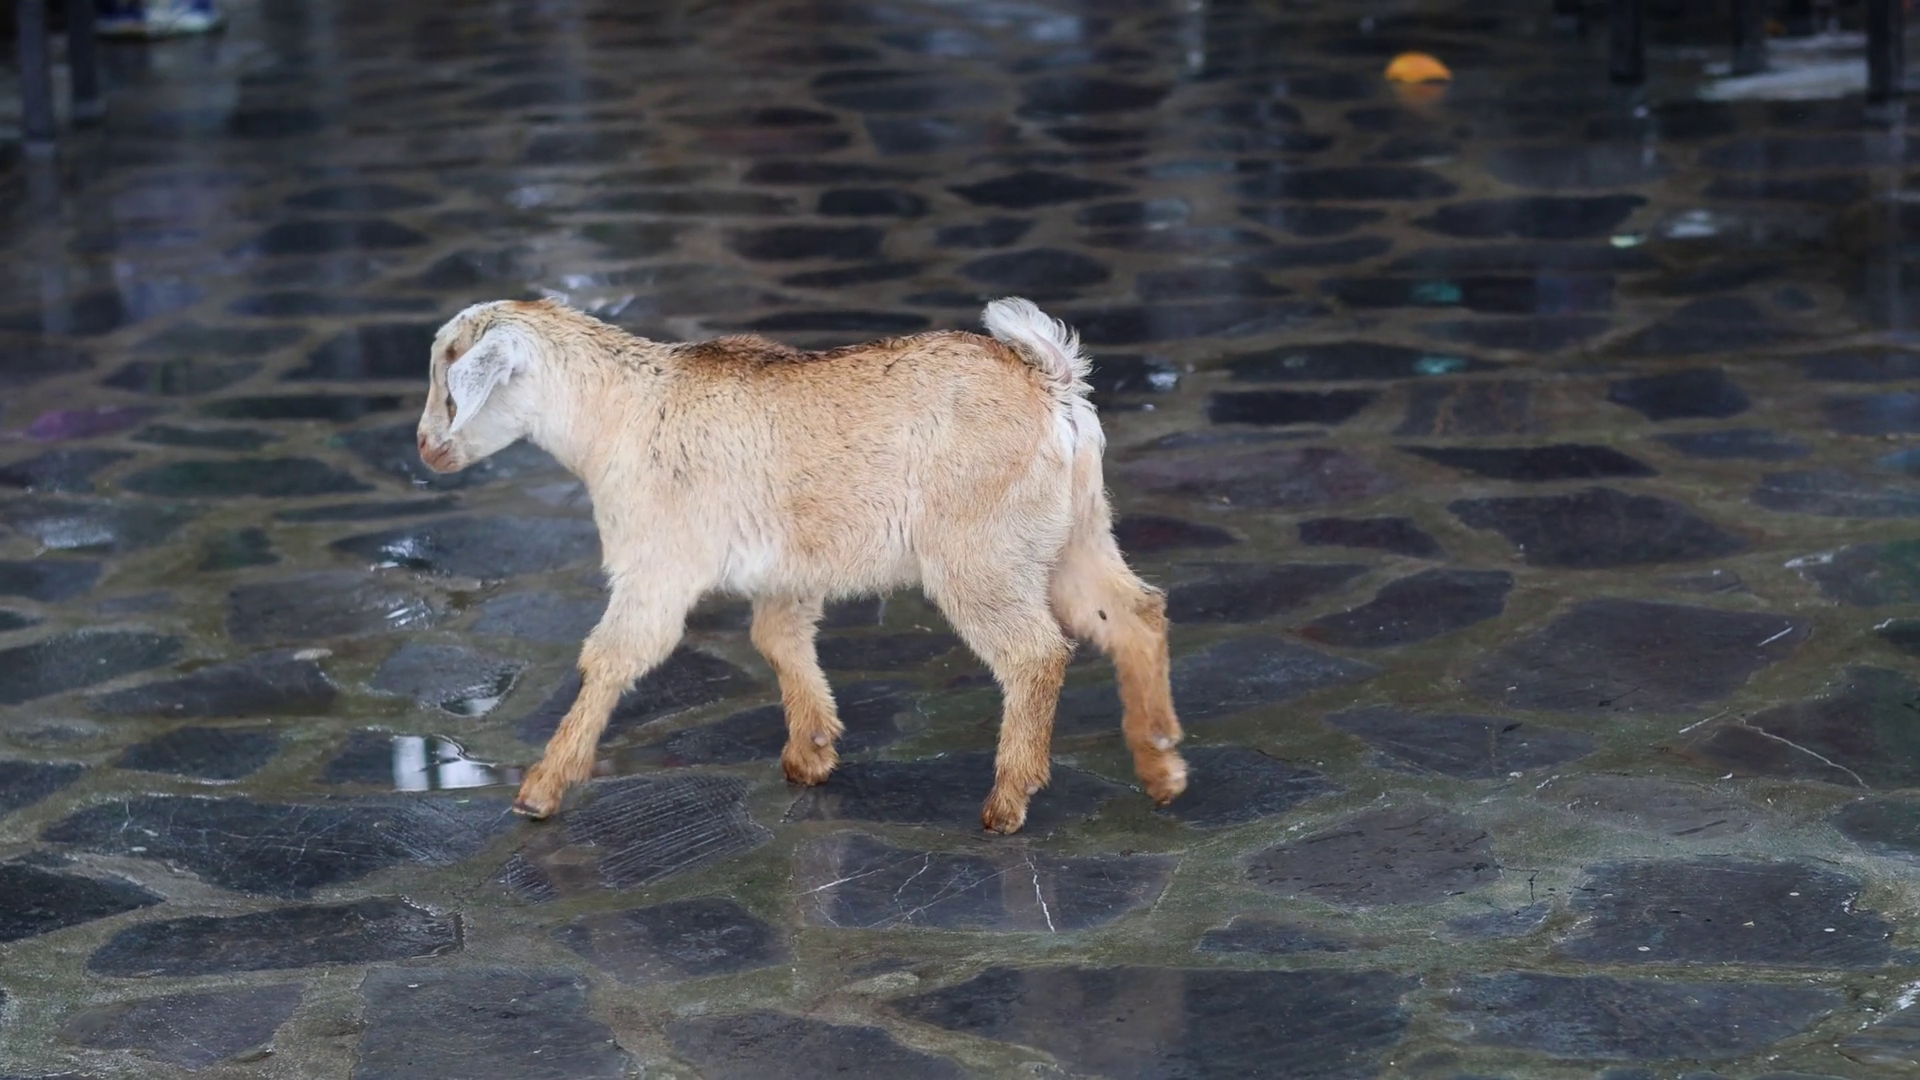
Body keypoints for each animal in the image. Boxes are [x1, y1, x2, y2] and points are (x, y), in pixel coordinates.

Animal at [414, 296, 1187, 834]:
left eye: (451, 373)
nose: (425, 447)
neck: (619, 412)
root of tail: (1051, 382)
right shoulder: (785, 570)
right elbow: (777, 638)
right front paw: (811, 752)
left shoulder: (655, 559)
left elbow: (614, 656)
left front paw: (540, 790)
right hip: (1073, 530)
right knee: (1133, 612)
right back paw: (1161, 765)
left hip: (981, 547)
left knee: (1034, 652)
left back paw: (1008, 800)